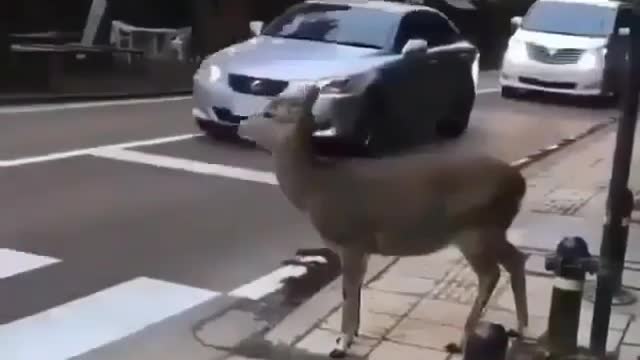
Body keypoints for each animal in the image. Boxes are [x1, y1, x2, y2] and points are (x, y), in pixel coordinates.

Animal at [238, 84, 528, 358]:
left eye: (269, 112)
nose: (240, 124)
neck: (313, 189)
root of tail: (519, 183)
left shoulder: (350, 240)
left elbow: (348, 290)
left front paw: (341, 344)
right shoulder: (364, 247)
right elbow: (356, 290)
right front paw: (352, 334)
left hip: (475, 229)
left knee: (490, 274)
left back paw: (462, 340)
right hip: (494, 228)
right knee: (516, 259)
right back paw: (519, 327)